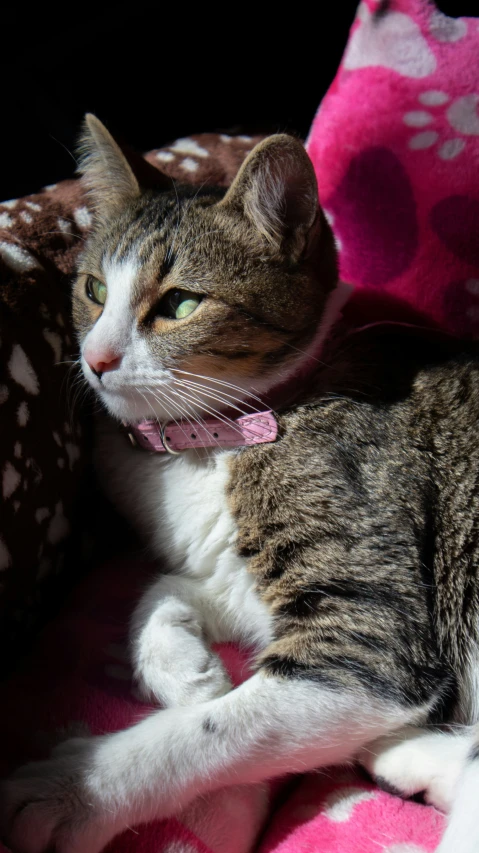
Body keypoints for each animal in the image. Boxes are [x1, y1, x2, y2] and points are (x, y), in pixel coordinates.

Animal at [2, 115, 479, 852]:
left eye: (179, 303)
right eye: (94, 290)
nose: (96, 358)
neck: (207, 445)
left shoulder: (370, 634)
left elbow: (209, 731)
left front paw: (71, 789)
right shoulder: (236, 578)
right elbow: (162, 590)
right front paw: (191, 674)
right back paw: (407, 754)